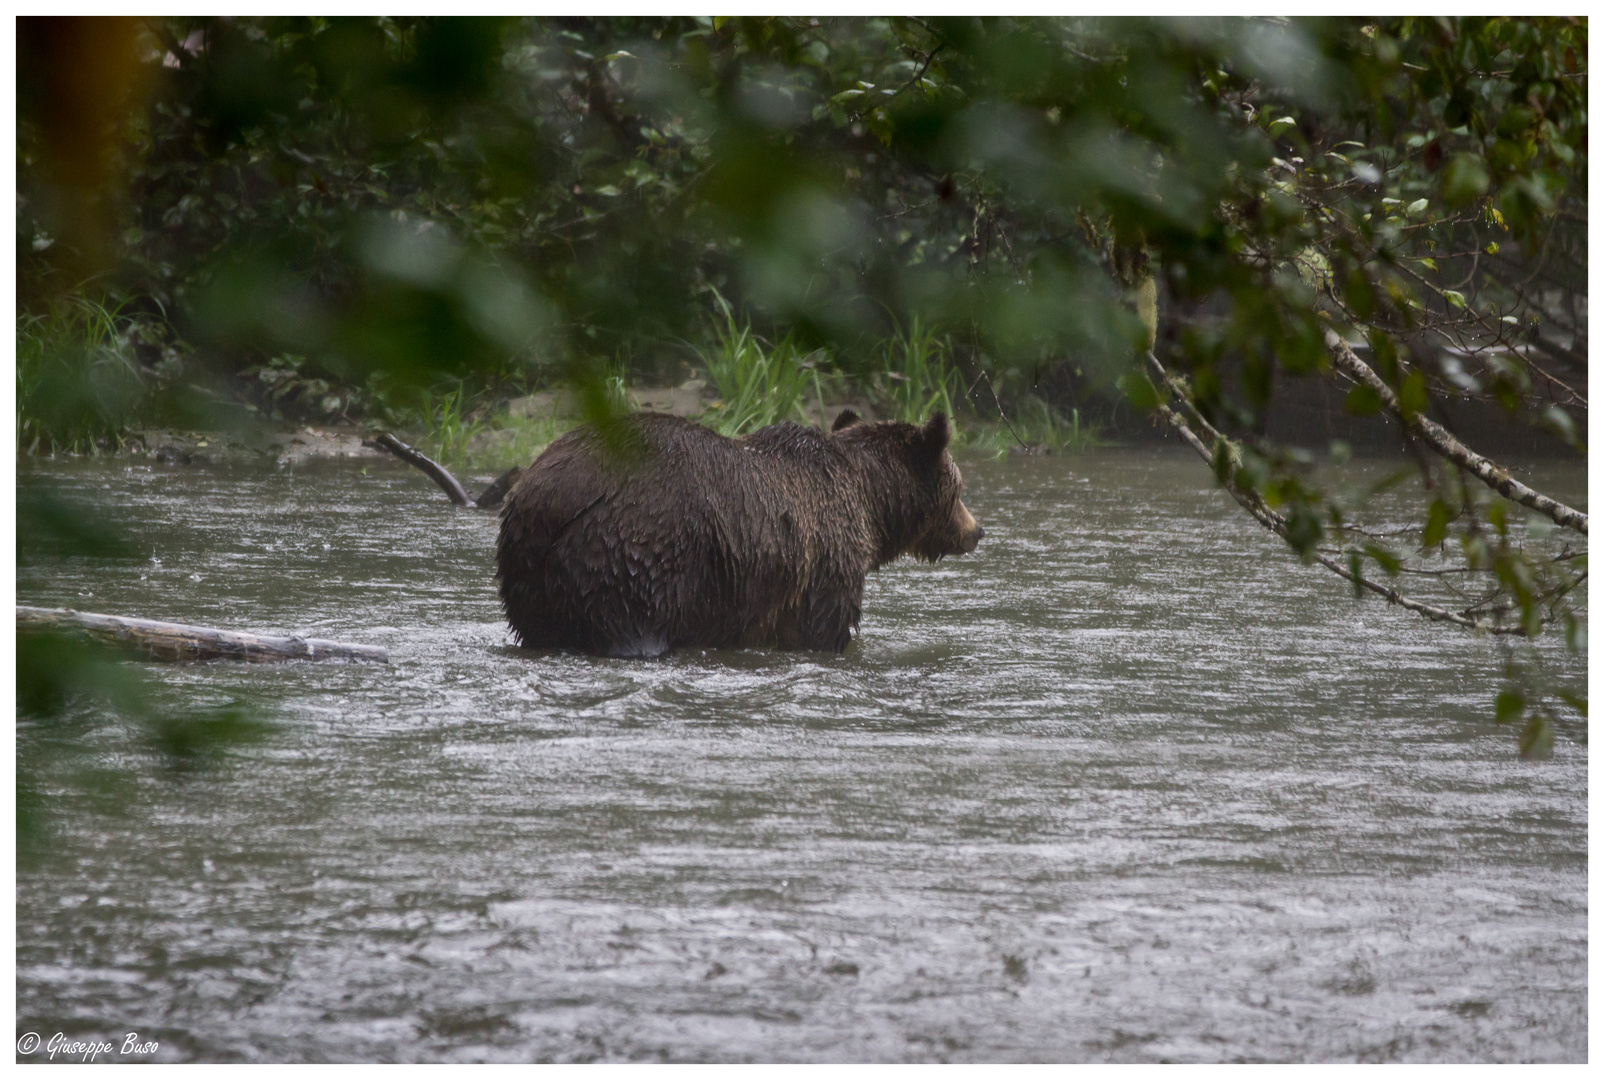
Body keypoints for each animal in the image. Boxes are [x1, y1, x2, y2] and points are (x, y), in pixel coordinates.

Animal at [494, 406, 981, 651]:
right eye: (958, 488)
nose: (976, 530)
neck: (870, 501)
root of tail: (549, 500)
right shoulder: (824, 561)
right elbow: (823, 629)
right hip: (635, 553)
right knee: (634, 622)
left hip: (525, 569)